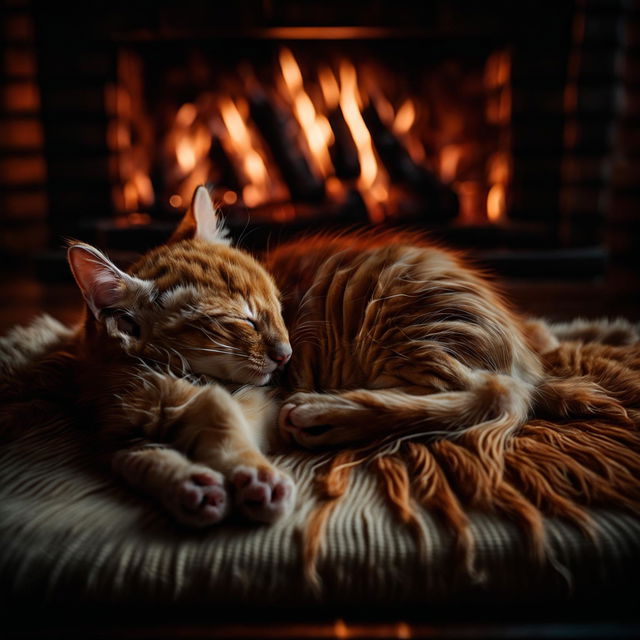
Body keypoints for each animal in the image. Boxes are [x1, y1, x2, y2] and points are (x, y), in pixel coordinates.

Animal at [65, 188, 296, 528]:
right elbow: (140, 458)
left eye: (277, 308)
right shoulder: (113, 433)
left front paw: (256, 474)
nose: (286, 354)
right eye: (244, 321)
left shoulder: (260, 401)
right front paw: (187, 484)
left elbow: (223, 414)